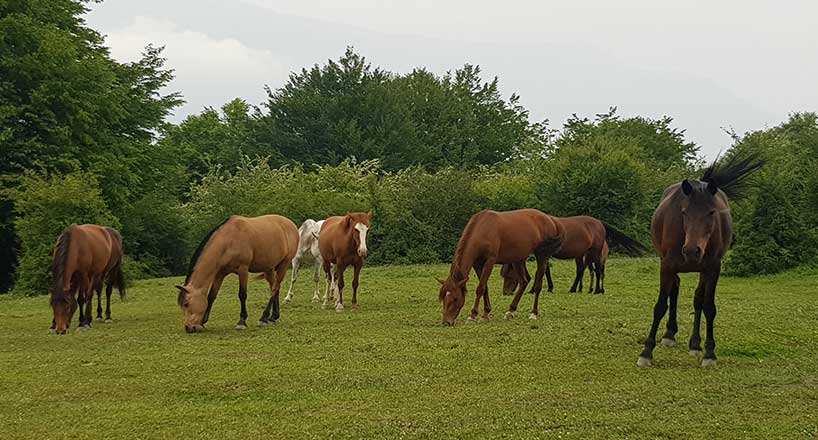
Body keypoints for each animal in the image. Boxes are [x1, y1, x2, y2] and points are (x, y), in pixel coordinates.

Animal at [436, 208, 564, 324]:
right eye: (443, 298)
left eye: (455, 298)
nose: (446, 322)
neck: (483, 230)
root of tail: (550, 220)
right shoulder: (477, 264)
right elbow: (485, 287)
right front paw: (486, 313)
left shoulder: (490, 261)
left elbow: (480, 288)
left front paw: (473, 315)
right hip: (517, 260)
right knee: (524, 281)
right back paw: (510, 311)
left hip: (541, 256)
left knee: (537, 285)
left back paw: (533, 313)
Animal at [636, 154, 760, 368]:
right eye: (684, 212)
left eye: (712, 212)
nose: (692, 251)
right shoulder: (667, 264)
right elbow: (660, 305)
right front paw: (646, 351)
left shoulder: (713, 268)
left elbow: (708, 307)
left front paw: (709, 353)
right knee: (675, 289)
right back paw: (669, 334)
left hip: (703, 270)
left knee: (698, 299)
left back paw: (695, 344)